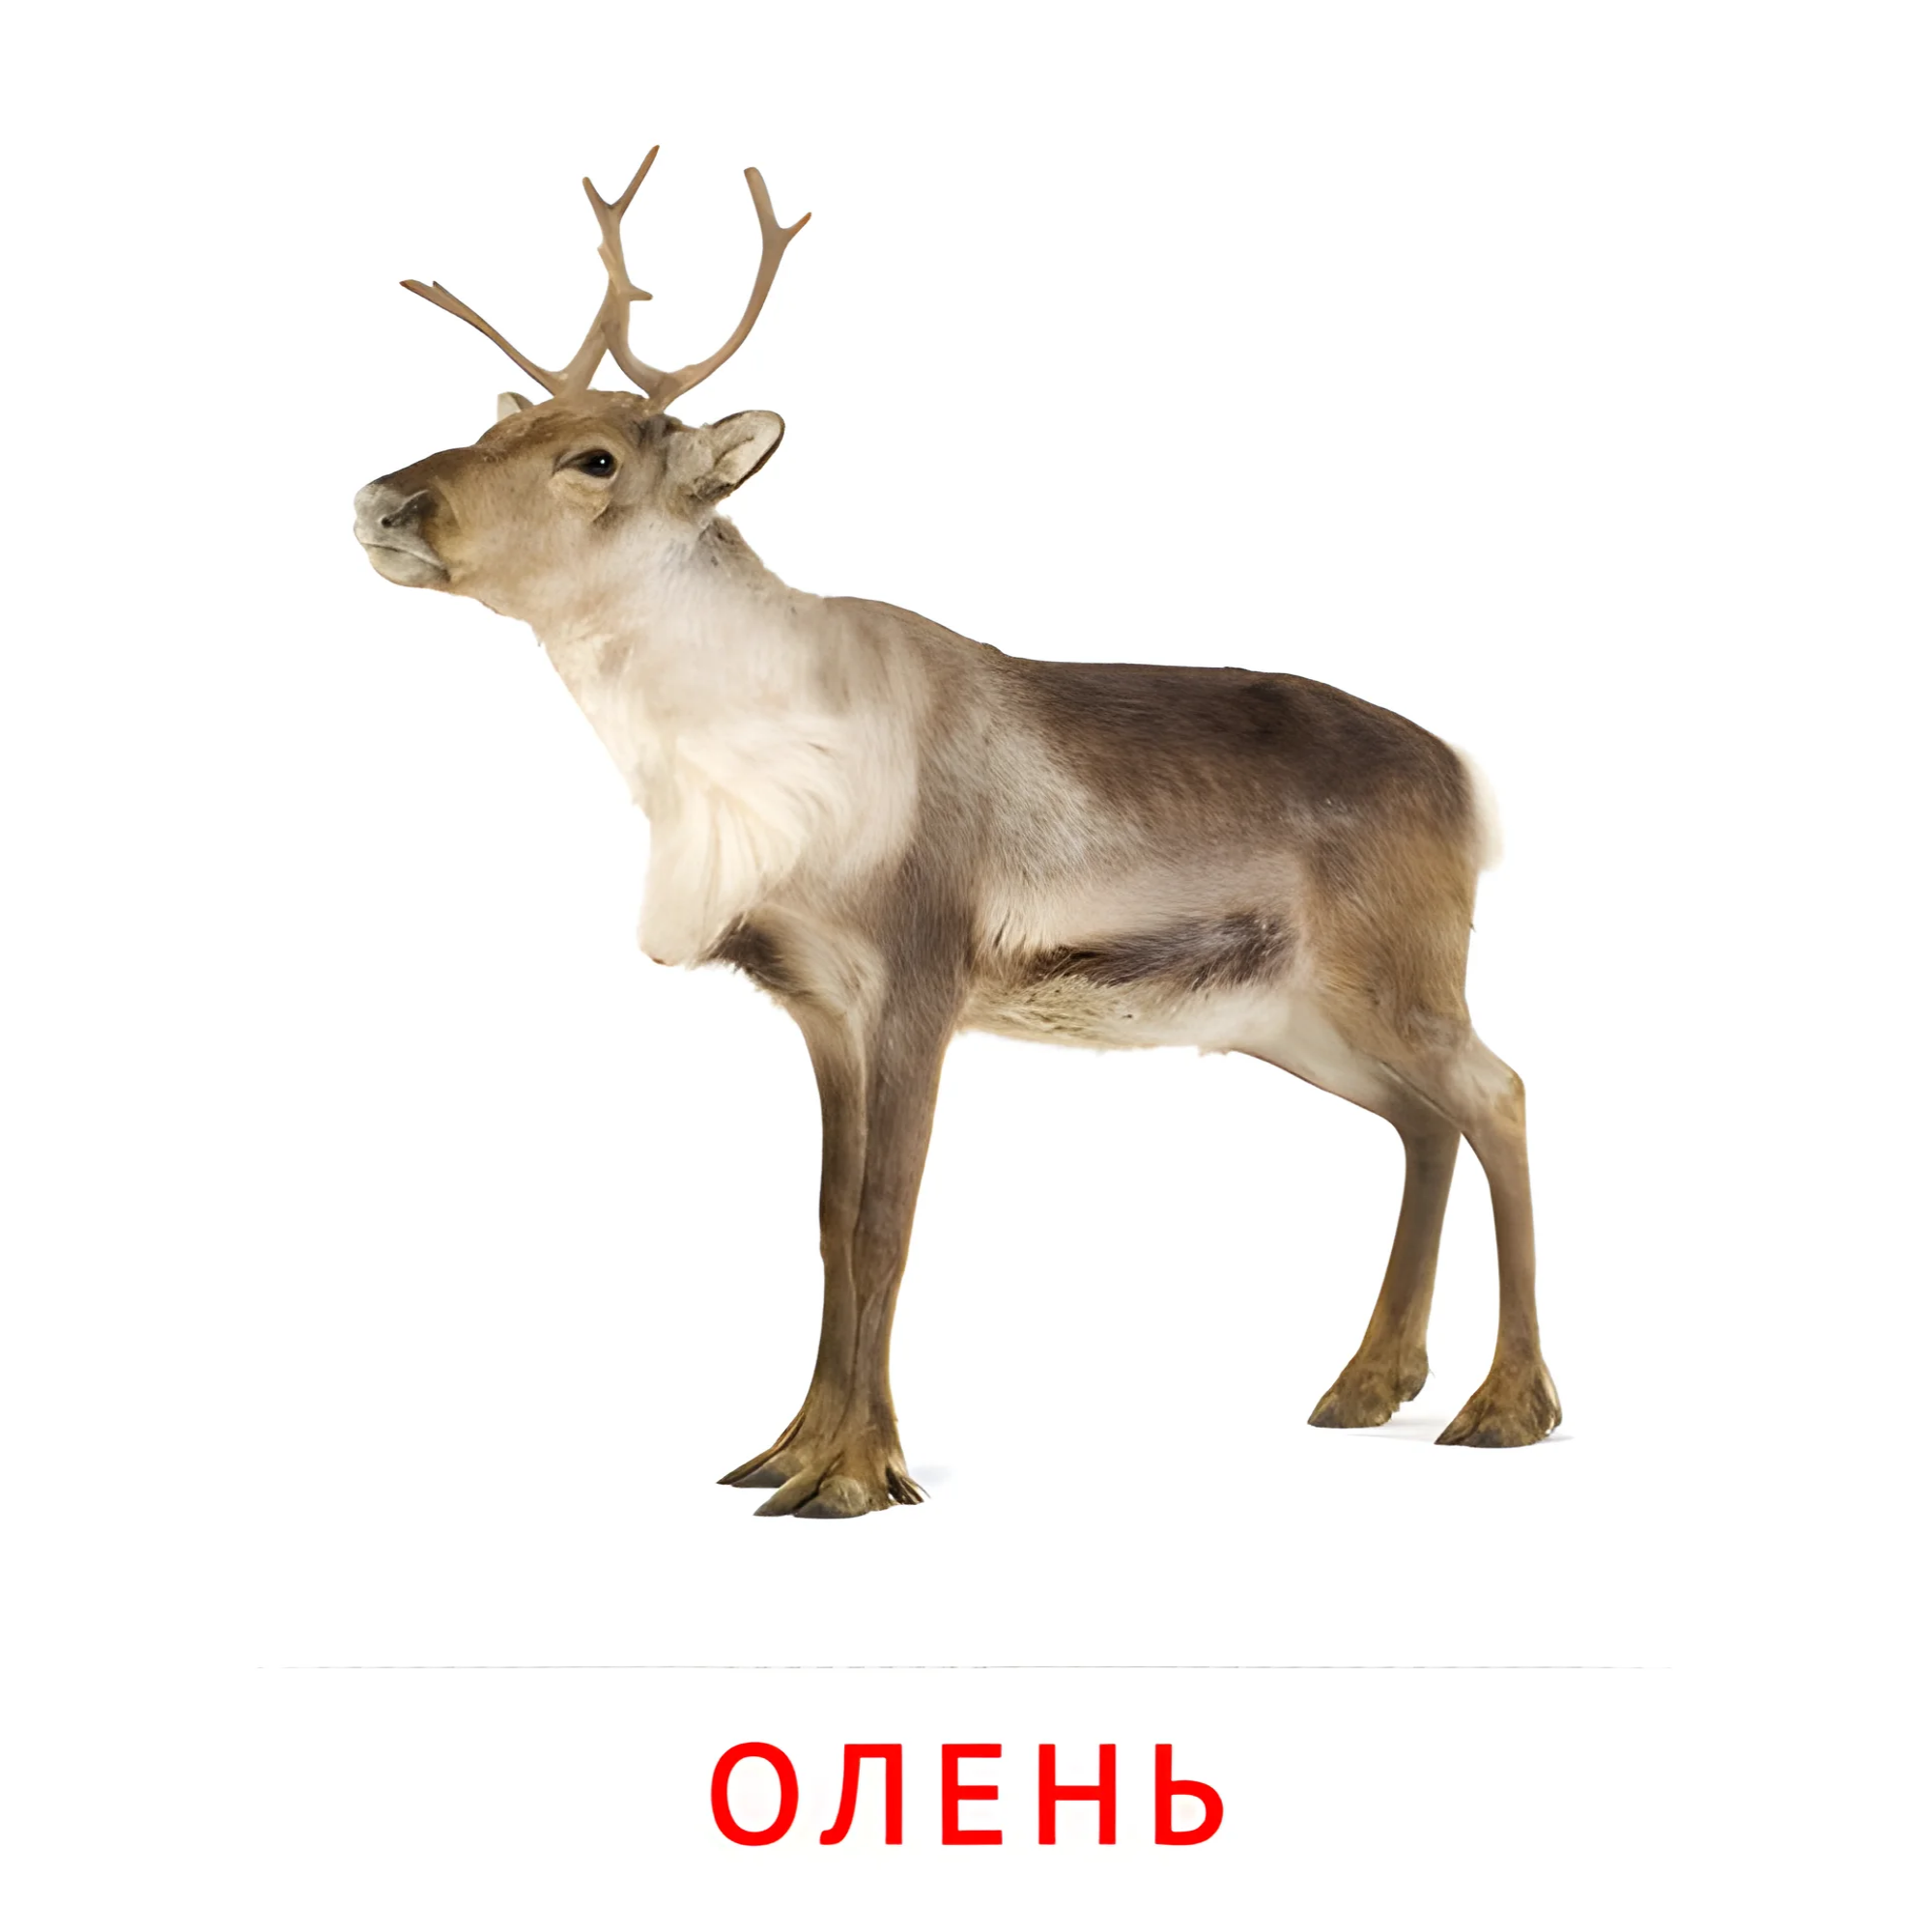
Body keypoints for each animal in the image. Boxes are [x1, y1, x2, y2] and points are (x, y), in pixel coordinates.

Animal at [353, 149, 1561, 1519]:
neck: (745, 766)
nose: (385, 500)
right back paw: (1366, 1382)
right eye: (494, 424)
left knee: (1500, 1093)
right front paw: (786, 1446)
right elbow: (827, 1225)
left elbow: (886, 1222)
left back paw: (1503, 1405)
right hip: (1292, 1014)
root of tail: (1466, 781)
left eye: (593, 458)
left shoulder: (919, 977)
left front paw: (853, 1474)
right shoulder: (818, 1003)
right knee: (1423, 1121)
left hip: (1395, 973)